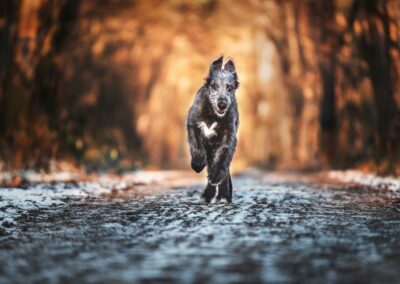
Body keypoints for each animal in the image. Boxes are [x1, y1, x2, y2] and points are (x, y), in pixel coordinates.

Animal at [187, 55, 239, 202]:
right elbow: (196, 146)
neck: (212, 115)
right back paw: (208, 194)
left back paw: (223, 194)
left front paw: (216, 176)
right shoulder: (193, 125)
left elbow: (223, 157)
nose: (222, 104)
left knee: (222, 168)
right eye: (214, 86)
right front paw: (197, 164)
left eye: (230, 88)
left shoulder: (229, 135)